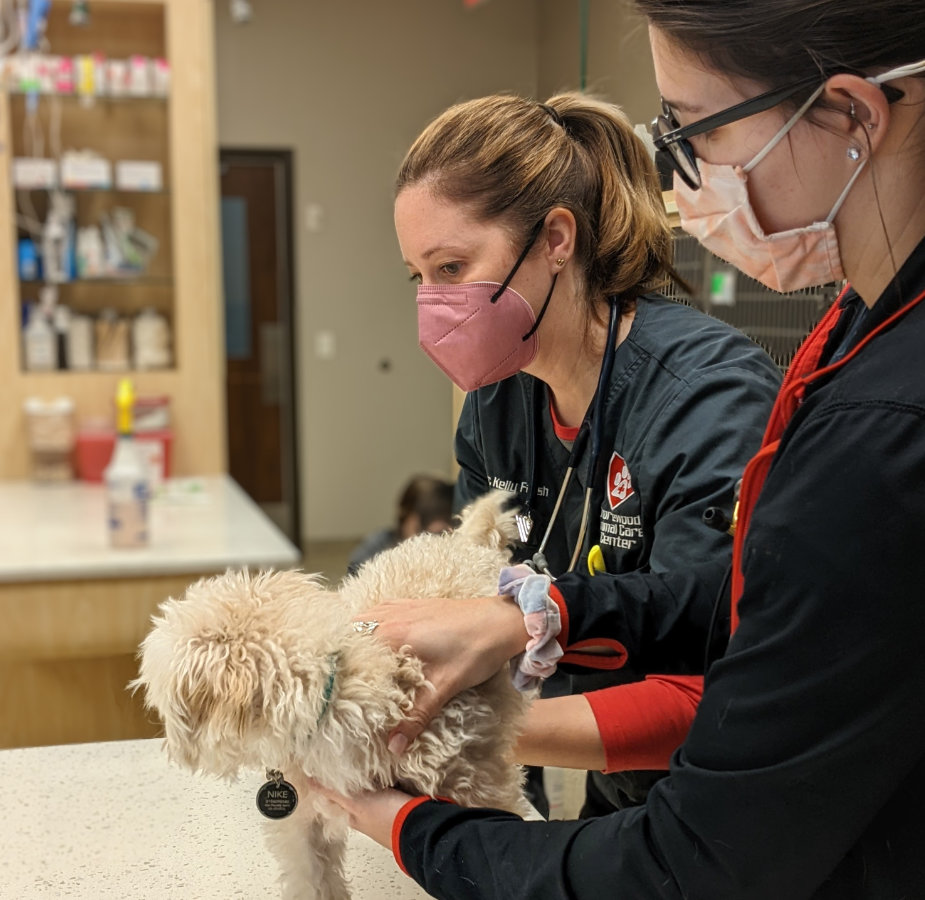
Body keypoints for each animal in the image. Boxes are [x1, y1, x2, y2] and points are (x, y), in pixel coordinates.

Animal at [134, 492, 532, 900]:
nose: (170, 746)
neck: (333, 690)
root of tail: (463, 541)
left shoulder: (477, 785)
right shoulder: (302, 819)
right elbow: (311, 877)